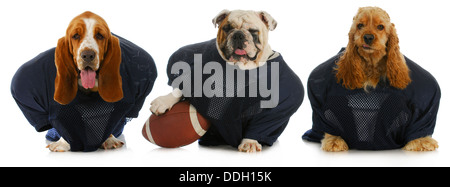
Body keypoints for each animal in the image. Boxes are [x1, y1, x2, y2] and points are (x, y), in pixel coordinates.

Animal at [150, 9, 278, 152]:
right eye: (227, 28)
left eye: (253, 31)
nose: (238, 35)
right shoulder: (196, 76)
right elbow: (182, 87)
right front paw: (163, 101)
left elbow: (262, 124)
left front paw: (250, 142)